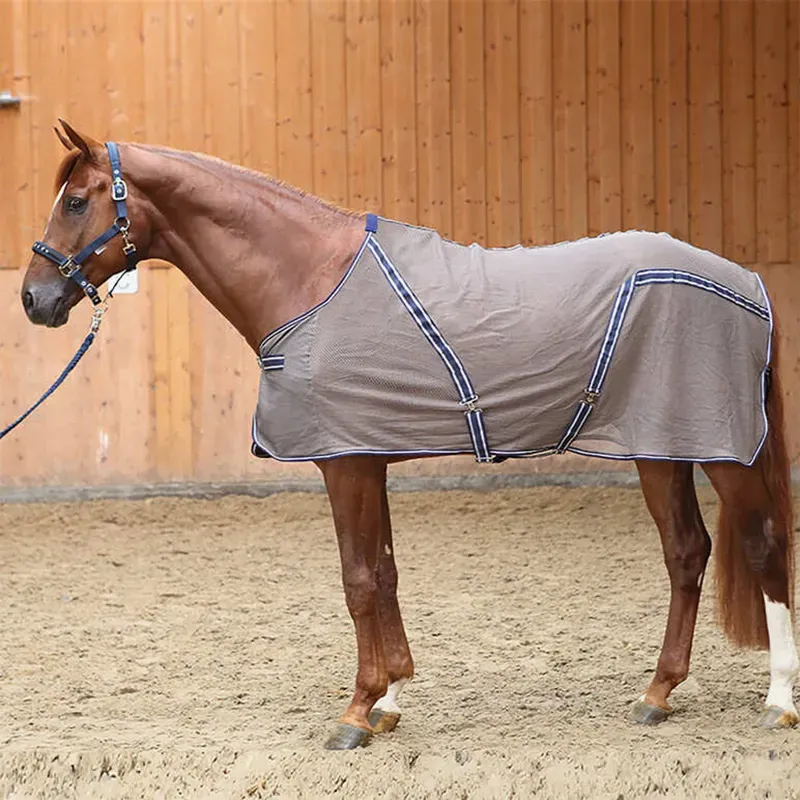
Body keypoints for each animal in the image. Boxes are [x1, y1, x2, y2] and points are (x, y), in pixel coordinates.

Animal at [20, 121, 798, 750]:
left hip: (722, 450)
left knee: (760, 546)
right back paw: (657, 694)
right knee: (686, 553)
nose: (34, 299)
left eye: (78, 200)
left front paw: (355, 713)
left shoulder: (346, 463)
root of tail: (746, 281)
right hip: (659, 448)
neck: (311, 279)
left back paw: (778, 699)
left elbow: (359, 579)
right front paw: (390, 697)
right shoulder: (370, 457)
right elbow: (386, 571)